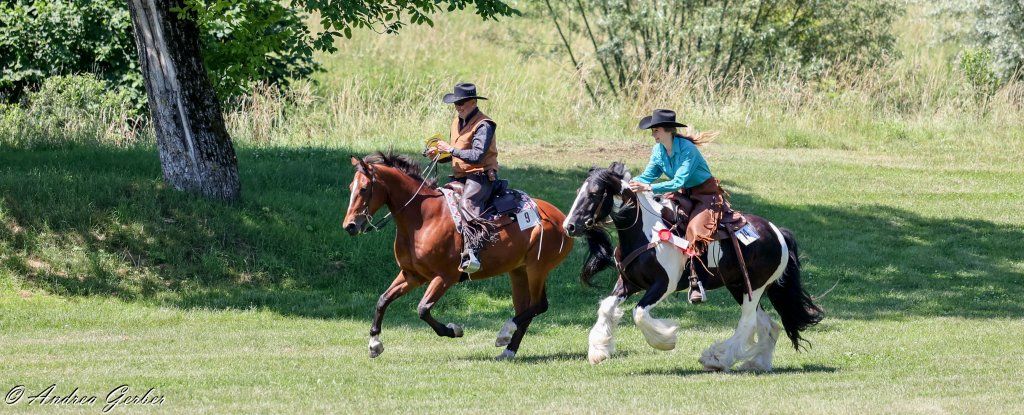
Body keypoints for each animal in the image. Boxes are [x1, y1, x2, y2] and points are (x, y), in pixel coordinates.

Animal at [342, 151, 576, 360]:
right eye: (351, 187)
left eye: (364, 188)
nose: (350, 226)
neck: (423, 217)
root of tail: (562, 219)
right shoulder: (412, 275)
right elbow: (383, 300)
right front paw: (374, 343)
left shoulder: (445, 277)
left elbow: (422, 309)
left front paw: (454, 330)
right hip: (518, 272)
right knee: (526, 309)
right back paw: (508, 350)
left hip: (537, 269)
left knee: (539, 305)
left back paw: (504, 332)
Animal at [562, 162, 823, 371]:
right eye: (577, 192)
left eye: (594, 193)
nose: (570, 226)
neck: (646, 233)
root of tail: (778, 232)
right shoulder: (628, 283)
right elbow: (607, 307)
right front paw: (599, 351)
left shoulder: (663, 285)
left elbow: (639, 313)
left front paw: (667, 340)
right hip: (740, 287)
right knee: (768, 325)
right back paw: (757, 363)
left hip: (755, 287)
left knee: (748, 323)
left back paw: (716, 358)